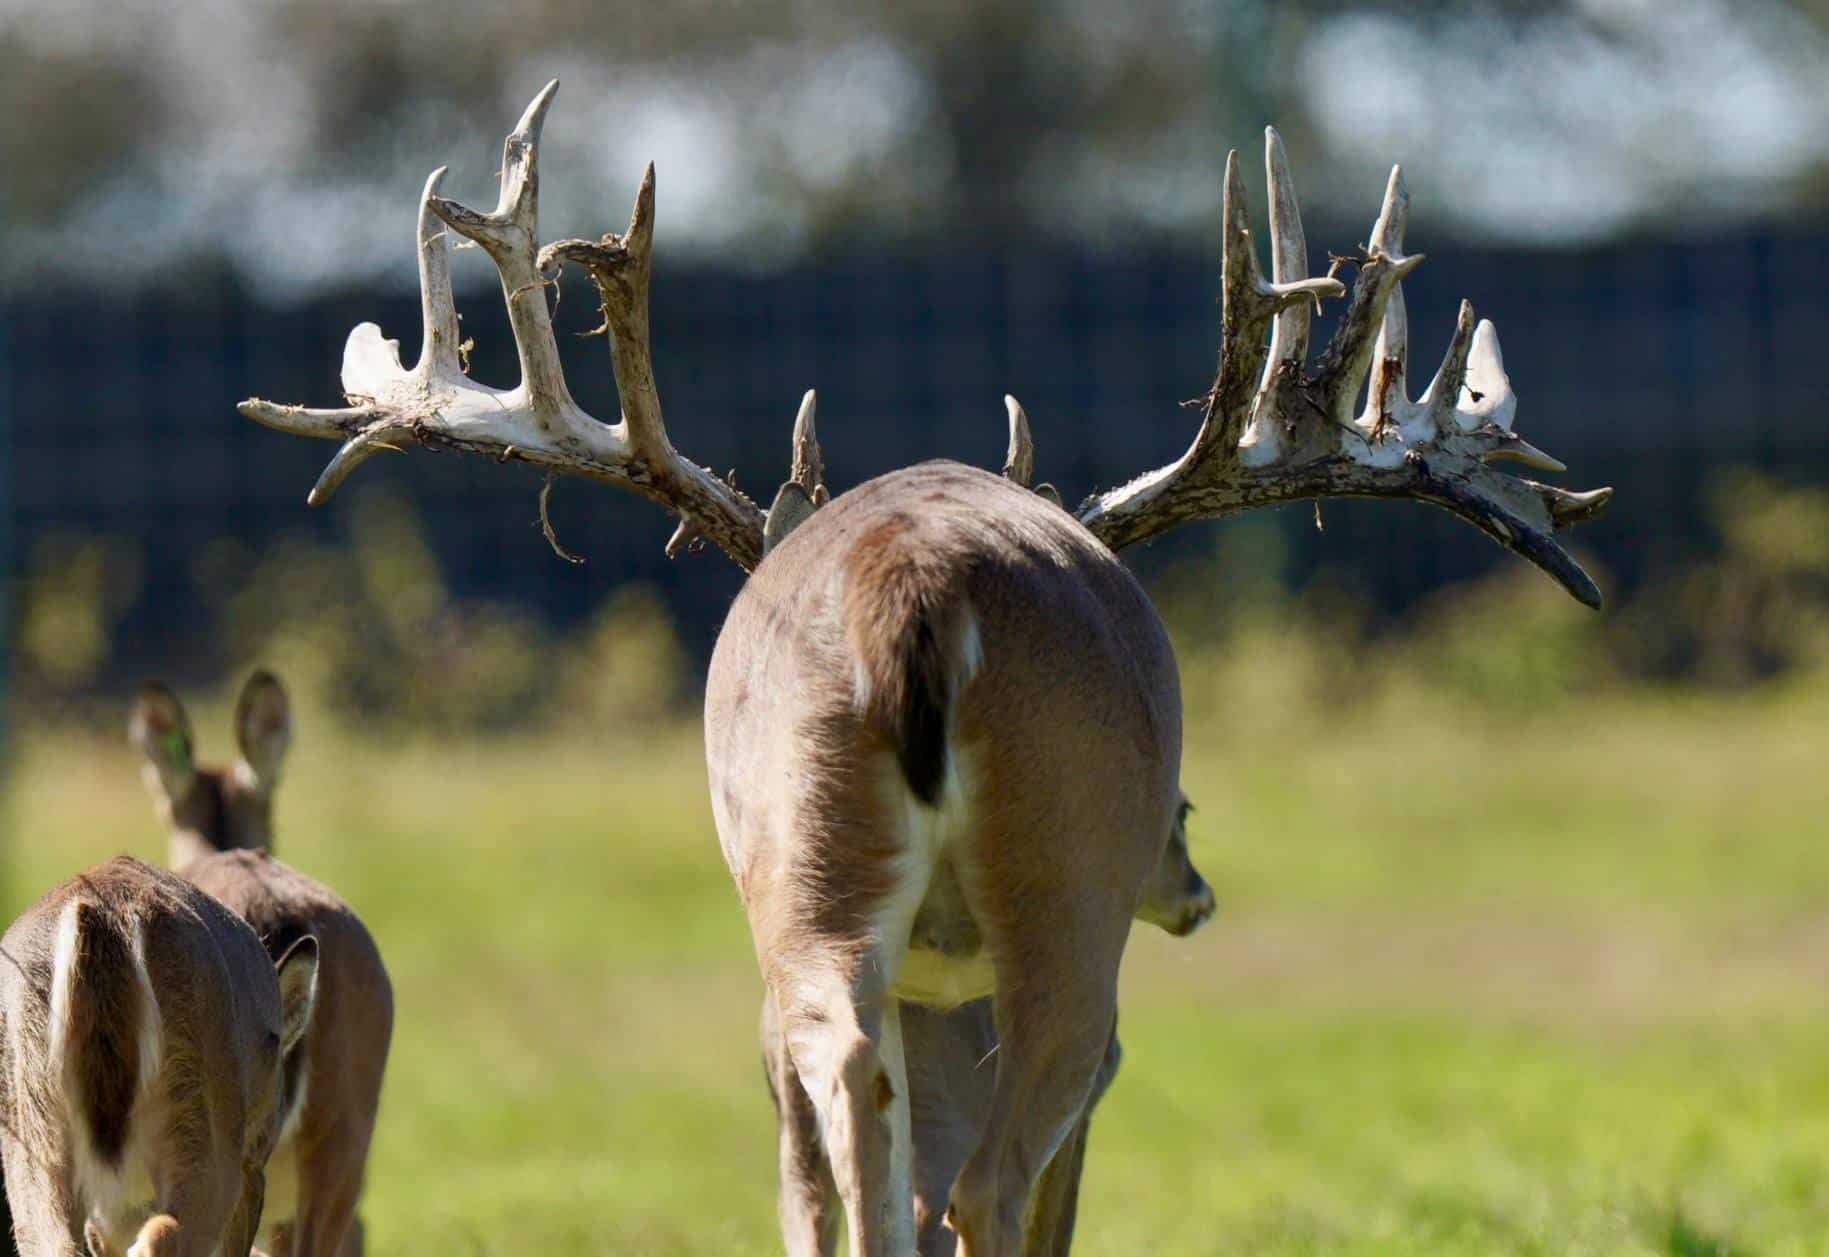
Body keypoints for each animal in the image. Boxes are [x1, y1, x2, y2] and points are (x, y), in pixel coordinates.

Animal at [0, 856, 318, 1256]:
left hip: (32, 1128)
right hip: (206, 1130)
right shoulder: (253, 1160)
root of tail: (100, 913)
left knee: (54, 1240)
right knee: (166, 1233)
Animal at [238, 81, 1612, 1255]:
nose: (1196, 891)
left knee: (848, 1105)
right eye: (1186, 800)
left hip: (808, 875)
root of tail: (921, 576)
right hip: (1066, 897)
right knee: (983, 1174)